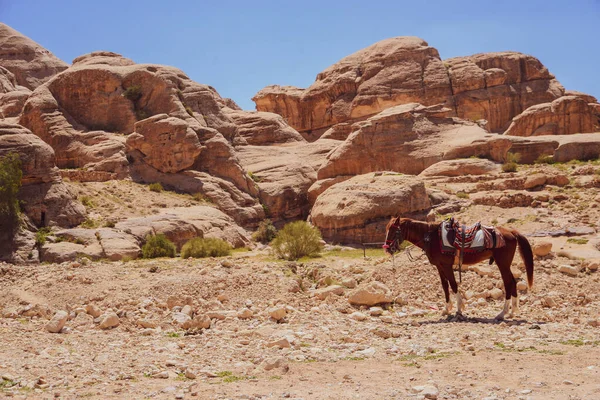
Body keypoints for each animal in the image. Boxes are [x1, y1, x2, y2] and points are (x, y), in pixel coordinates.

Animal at [384, 217, 536, 320]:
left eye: (394, 230)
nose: (387, 248)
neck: (432, 238)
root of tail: (511, 231)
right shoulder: (439, 266)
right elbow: (445, 286)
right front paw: (446, 309)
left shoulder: (446, 266)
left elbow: (453, 285)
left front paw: (459, 309)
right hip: (505, 264)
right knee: (513, 282)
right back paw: (512, 311)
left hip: (502, 263)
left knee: (508, 282)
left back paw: (502, 313)